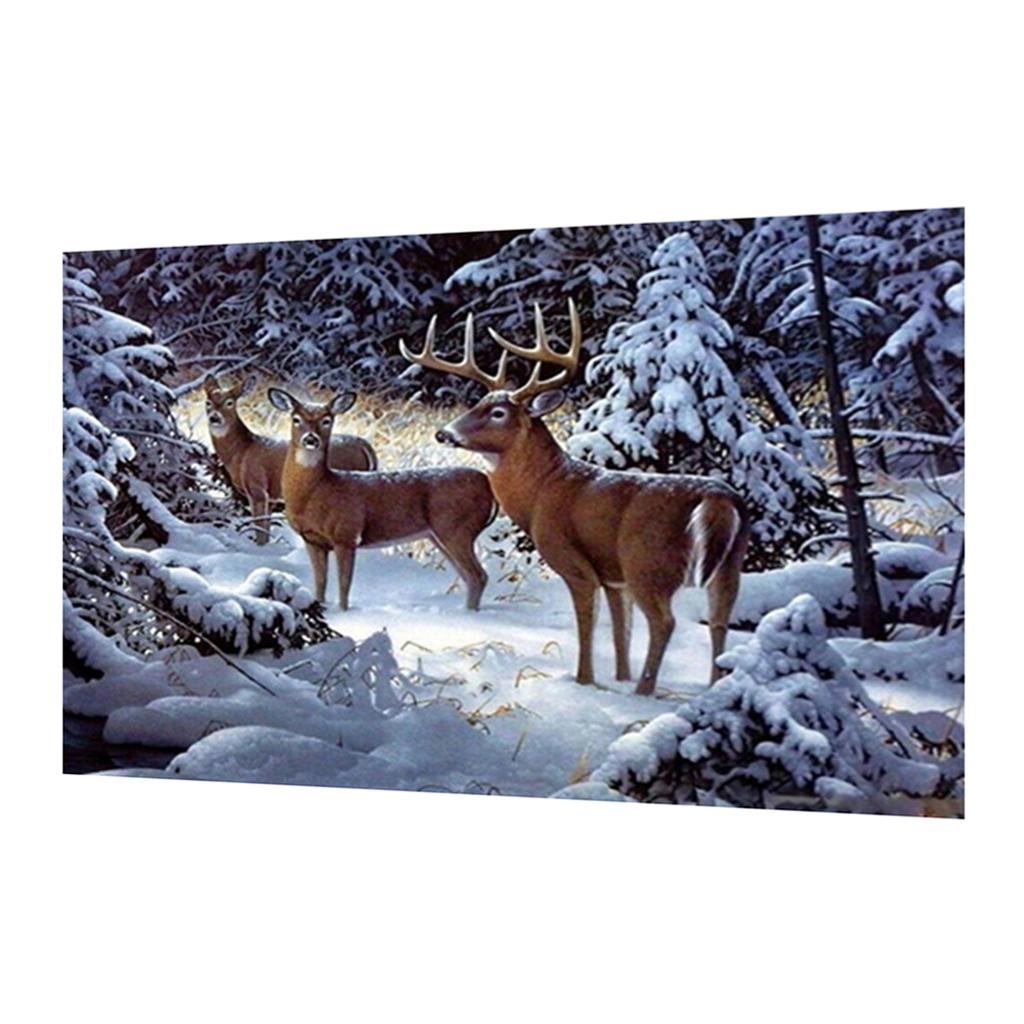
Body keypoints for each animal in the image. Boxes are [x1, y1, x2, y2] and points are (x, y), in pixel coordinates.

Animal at [203, 376, 377, 544]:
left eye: (229, 403)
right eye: (208, 403)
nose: (214, 418)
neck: (242, 451)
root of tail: (365, 445)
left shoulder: (257, 487)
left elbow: (260, 530)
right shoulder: (272, 497)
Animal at [267, 386, 496, 611]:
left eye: (327, 420)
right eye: (296, 418)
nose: (311, 439)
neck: (317, 491)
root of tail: (488, 485)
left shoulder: (346, 535)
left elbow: (344, 585)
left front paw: (343, 612)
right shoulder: (312, 540)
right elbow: (320, 583)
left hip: (458, 528)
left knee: (478, 576)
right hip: (439, 535)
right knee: (470, 577)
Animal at [400, 301, 750, 694]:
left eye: (498, 413)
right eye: (476, 404)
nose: (444, 433)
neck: (542, 491)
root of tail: (718, 498)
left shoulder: (574, 560)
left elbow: (587, 624)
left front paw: (584, 681)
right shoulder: (614, 576)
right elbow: (621, 631)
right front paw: (620, 677)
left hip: (648, 562)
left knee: (664, 622)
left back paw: (644, 693)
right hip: (728, 565)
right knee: (719, 621)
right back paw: (712, 689)